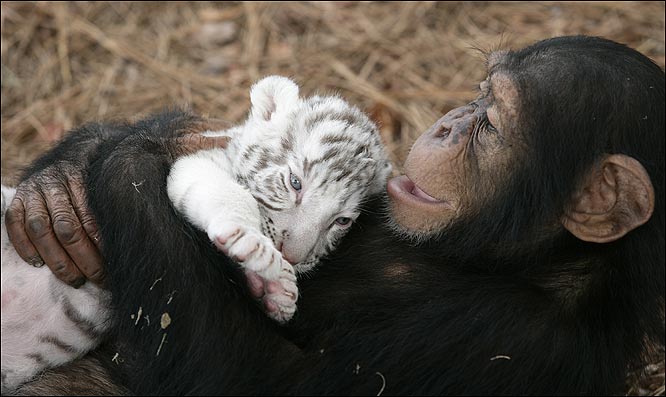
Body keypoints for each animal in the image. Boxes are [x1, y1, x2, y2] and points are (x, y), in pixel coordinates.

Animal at [6, 36, 664, 392]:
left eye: (341, 223)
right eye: (295, 183)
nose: (449, 125)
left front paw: (273, 287)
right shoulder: (200, 166)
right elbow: (212, 188)